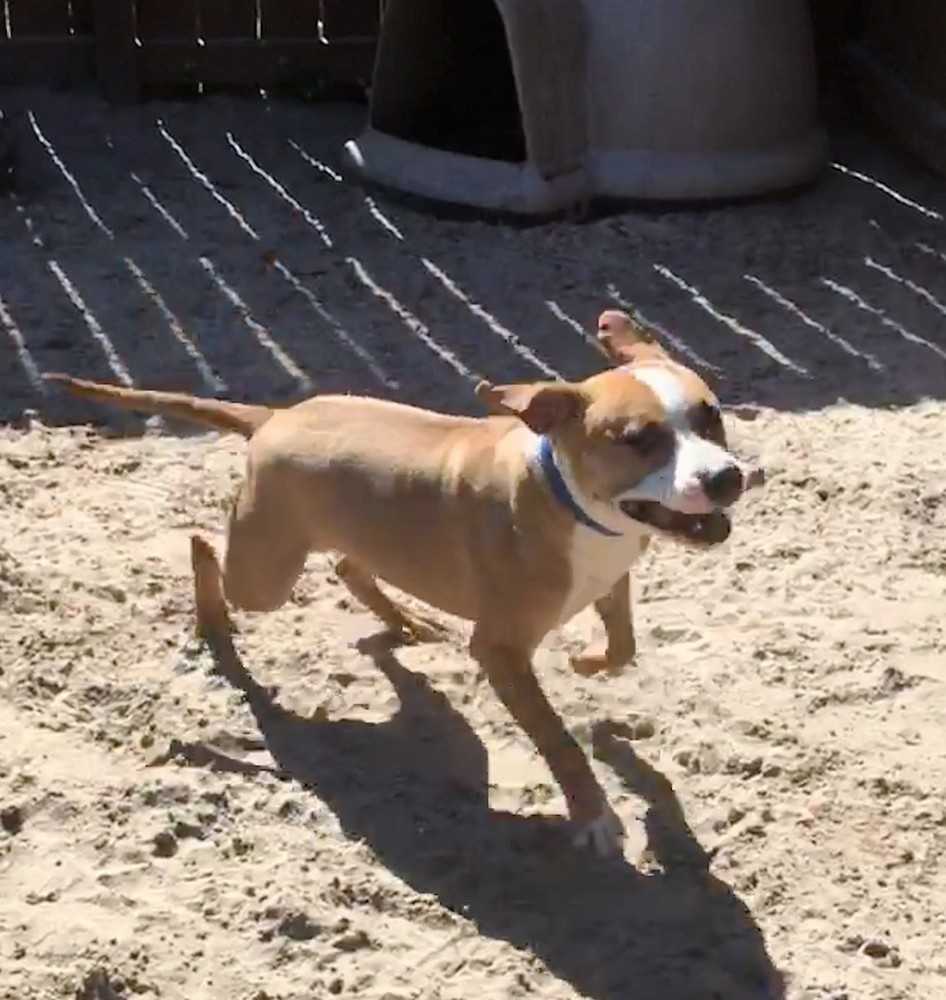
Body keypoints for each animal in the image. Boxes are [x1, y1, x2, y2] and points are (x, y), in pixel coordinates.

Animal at [48, 308, 764, 856]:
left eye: (711, 415)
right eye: (639, 438)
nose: (727, 476)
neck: (571, 501)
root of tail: (273, 416)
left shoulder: (613, 579)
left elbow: (623, 647)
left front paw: (590, 668)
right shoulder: (500, 653)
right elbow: (558, 742)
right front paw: (593, 814)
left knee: (347, 566)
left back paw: (403, 623)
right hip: (266, 574)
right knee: (204, 546)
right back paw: (214, 623)